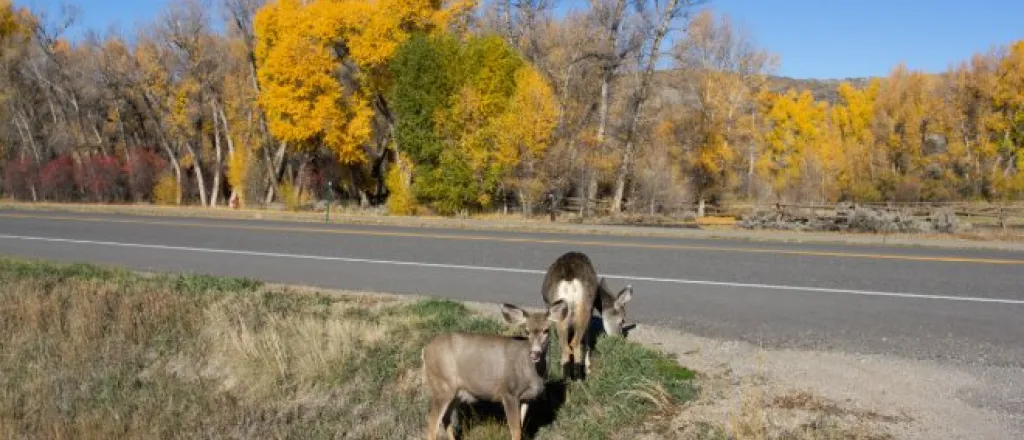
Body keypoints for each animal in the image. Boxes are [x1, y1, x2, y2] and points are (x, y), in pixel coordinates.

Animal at [422, 300, 568, 440]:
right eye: (527, 331)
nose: (535, 353)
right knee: (432, 423)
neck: (533, 374)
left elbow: (521, 427)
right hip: (442, 386)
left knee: (446, 418)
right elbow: (516, 432)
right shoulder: (509, 393)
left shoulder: (526, 398)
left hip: (456, 392)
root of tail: (425, 350)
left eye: (546, 330)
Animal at [540, 251, 633, 381]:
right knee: (575, 343)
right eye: (622, 320)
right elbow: (587, 339)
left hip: (558, 311)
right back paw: (579, 378)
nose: (619, 339)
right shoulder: (591, 311)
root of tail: (569, 281)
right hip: (584, 308)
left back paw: (566, 378)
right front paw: (588, 367)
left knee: (565, 346)